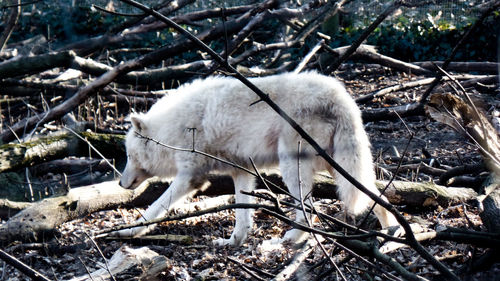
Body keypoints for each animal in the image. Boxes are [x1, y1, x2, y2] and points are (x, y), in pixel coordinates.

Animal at [117, 70, 398, 245]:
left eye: (129, 155)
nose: (120, 183)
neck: (170, 129)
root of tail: (341, 96)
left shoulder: (190, 179)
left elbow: (155, 208)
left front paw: (129, 230)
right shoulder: (241, 172)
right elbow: (242, 217)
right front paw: (233, 242)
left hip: (292, 167)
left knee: (310, 210)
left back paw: (292, 238)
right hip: (341, 169)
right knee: (380, 198)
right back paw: (391, 234)